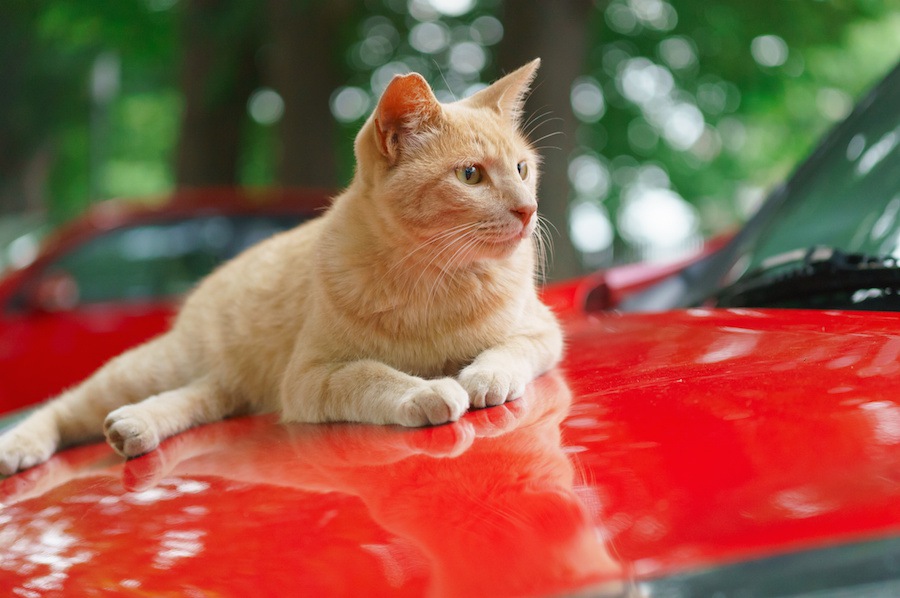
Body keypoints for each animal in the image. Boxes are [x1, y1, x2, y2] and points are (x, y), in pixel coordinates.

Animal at [0, 57, 564, 478]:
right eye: (470, 175)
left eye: (522, 169)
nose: (528, 209)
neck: (437, 280)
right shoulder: (312, 377)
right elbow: (373, 374)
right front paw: (426, 389)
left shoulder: (542, 330)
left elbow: (510, 349)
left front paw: (483, 375)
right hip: (152, 367)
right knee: (64, 405)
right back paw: (22, 445)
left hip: (224, 385)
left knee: (199, 399)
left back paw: (135, 427)